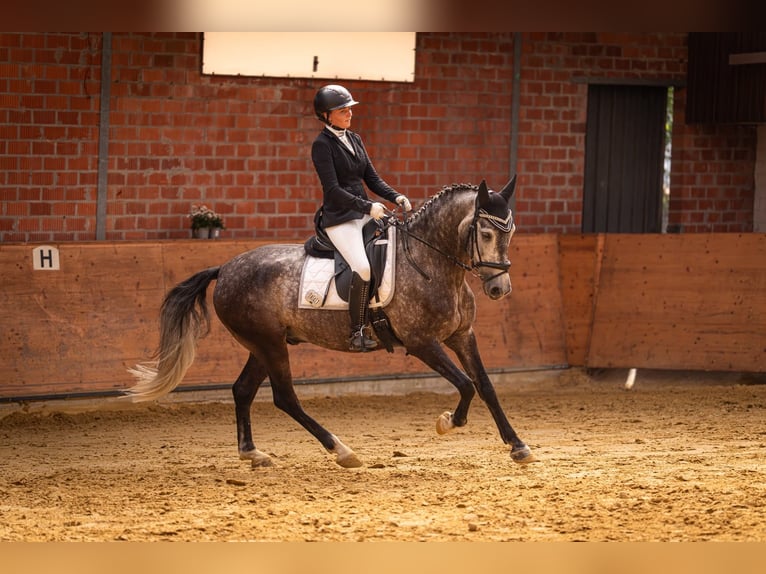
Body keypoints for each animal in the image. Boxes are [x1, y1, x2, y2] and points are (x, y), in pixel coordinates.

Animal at [124, 178, 537, 468]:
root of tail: (224, 268)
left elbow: (485, 386)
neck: (431, 262)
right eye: (486, 233)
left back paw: (253, 453)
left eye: (513, 231)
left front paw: (518, 446)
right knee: (284, 397)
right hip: (269, 344)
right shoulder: (421, 342)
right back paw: (342, 450)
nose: (499, 288)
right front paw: (447, 422)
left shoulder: (462, 335)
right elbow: (465, 384)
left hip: (263, 344)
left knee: (243, 390)